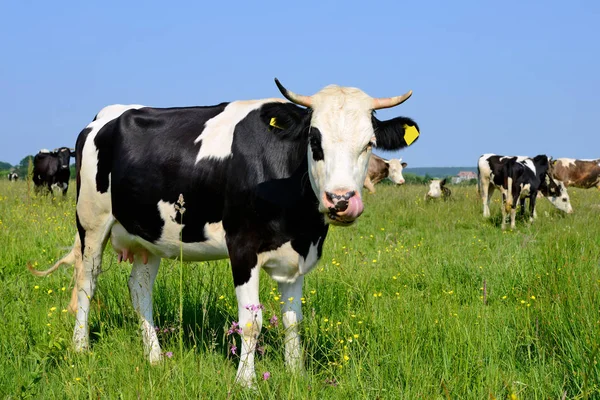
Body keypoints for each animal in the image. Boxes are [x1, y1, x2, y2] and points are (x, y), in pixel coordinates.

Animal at [29, 79, 422, 386]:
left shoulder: (299, 255)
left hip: (149, 235)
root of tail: (105, 116)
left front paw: (296, 374)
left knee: (139, 288)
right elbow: (251, 322)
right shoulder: (243, 248)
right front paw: (245, 382)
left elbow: (293, 321)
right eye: (314, 140)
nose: (341, 200)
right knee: (87, 281)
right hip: (91, 222)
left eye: (369, 144)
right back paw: (80, 348)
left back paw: (154, 356)